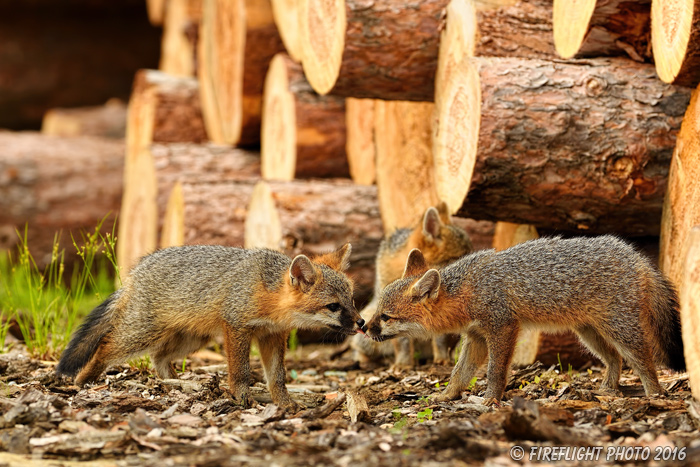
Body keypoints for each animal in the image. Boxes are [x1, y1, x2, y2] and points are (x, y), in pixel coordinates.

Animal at [57, 243, 364, 412]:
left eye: (351, 300)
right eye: (333, 306)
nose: (361, 322)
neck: (269, 294)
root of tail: (136, 271)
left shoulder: (272, 337)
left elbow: (277, 377)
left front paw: (285, 404)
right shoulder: (236, 327)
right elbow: (240, 371)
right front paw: (242, 398)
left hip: (192, 340)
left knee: (159, 358)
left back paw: (178, 385)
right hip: (141, 334)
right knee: (105, 347)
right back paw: (83, 381)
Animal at [364, 238, 688, 402]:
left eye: (386, 317)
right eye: (377, 310)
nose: (364, 328)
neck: (468, 289)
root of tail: (637, 256)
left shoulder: (502, 327)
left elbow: (495, 372)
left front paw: (490, 401)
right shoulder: (476, 336)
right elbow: (460, 372)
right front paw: (446, 396)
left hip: (620, 329)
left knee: (643, 360)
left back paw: (655, 395)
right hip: (588, 333)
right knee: (614, 359)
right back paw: (608, 390)